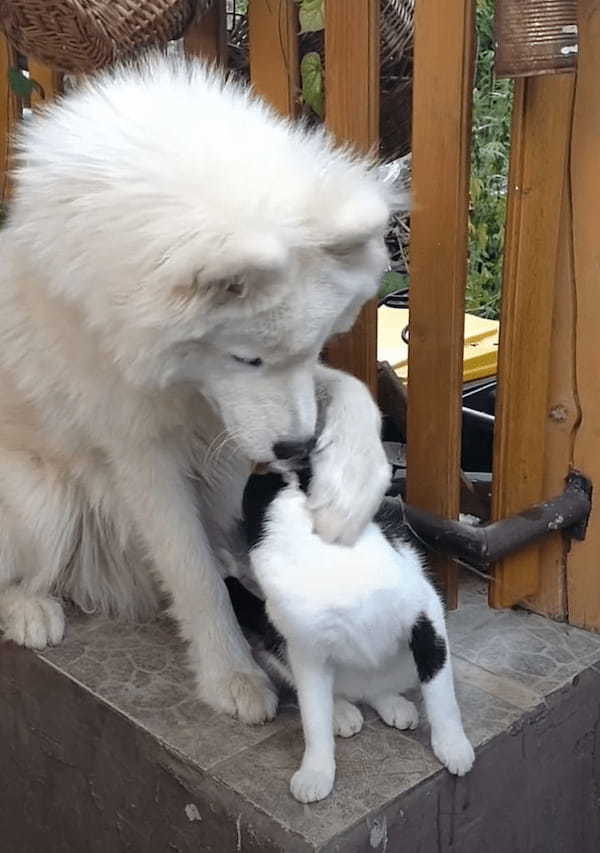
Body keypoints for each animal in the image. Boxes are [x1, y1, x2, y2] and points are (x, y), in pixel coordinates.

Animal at [1, 55, 404, 720]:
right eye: (245, 357)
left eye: (317, 343)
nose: (296, 450)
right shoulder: (140, 450)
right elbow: (192, 574)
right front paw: (230, 676)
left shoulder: (228, 413)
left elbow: (351, 389)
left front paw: (350, 486)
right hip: (41, 495)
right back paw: (31, 609)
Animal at [243, 470, 474, 804]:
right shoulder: (303, 644)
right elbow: (313, 712)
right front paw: (316, 771)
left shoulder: (426, 612)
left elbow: (441, 692)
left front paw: (452, 745)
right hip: (275, 636)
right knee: (324, 689)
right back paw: (341, 711)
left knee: (383, 685)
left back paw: (392, 703)